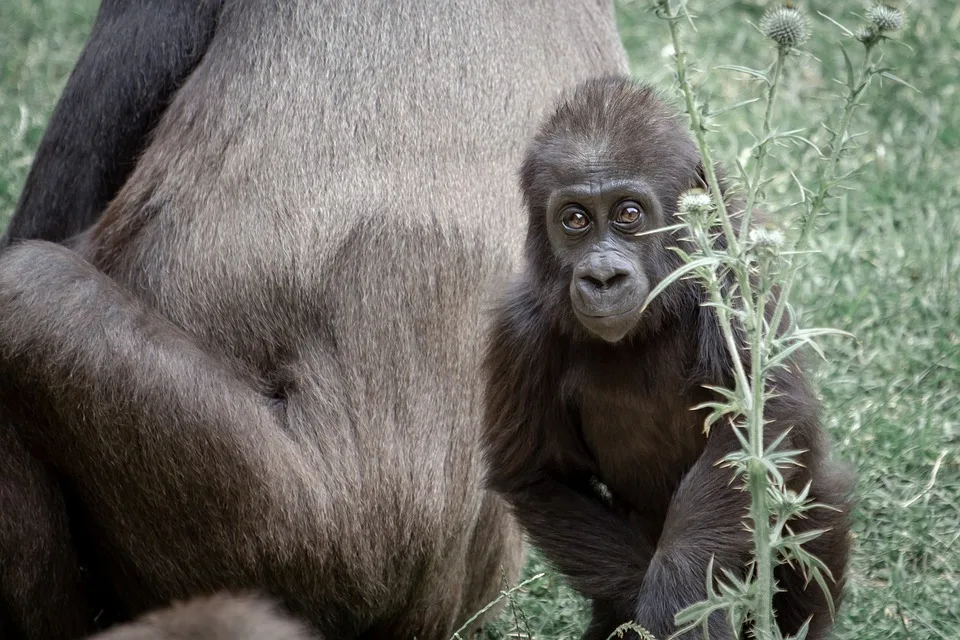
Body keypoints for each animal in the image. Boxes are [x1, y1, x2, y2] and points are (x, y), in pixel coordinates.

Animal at [484, 76, 852, 640]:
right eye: (575, 220)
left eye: (629, 214)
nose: (602, 277)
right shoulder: (519, 332)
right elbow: (540, 477)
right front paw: (663, 602)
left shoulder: (735, 269)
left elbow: (765, 416)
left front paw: (675, 591)